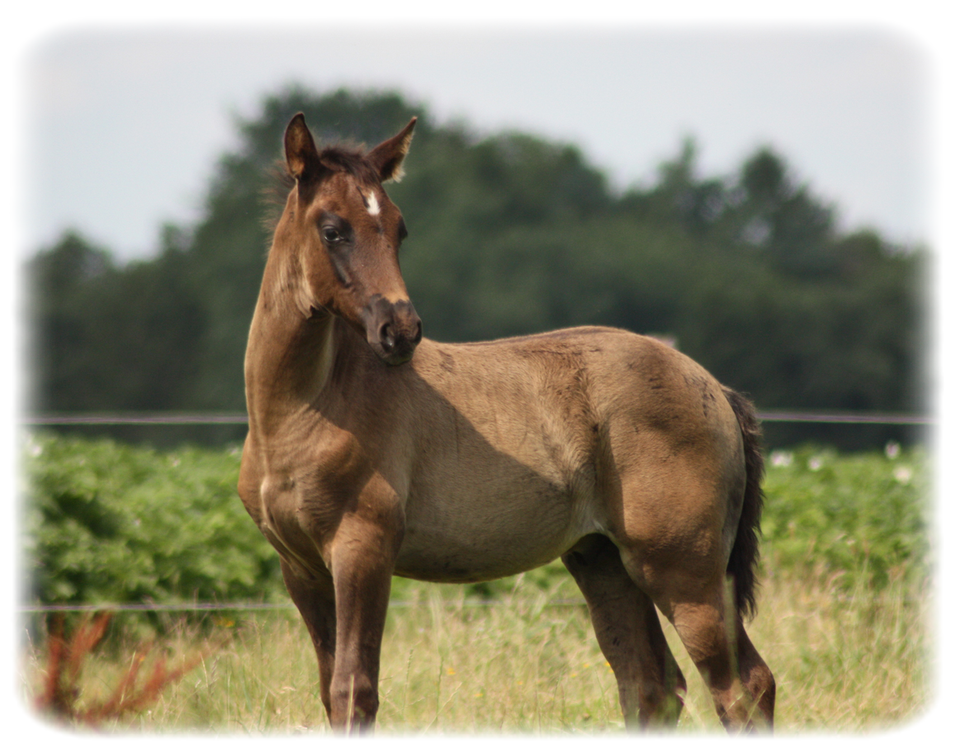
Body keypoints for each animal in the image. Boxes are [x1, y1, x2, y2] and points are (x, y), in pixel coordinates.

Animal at [238, 113, 776, 756]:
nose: (400, 331)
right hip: (604, 562)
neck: (305, 410)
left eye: (398, 229)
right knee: (652, 686)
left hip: (684, 571)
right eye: (332, 229)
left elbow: (354, 692)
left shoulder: (362, 548)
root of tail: (714, 388)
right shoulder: (302, 568)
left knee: (741, 686)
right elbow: (330, 693)